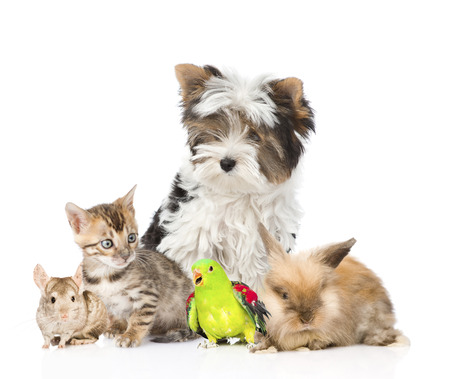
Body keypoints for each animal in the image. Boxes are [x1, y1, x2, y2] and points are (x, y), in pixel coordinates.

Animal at [64, 186, 198, 348]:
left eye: (131, 237)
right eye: (107, 243)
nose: (126, 255)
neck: (106, 275)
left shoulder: (147, 295)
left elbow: (140, 319)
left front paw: (130, 336)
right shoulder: (106, 301)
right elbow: (115, 314)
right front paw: (116, 327)